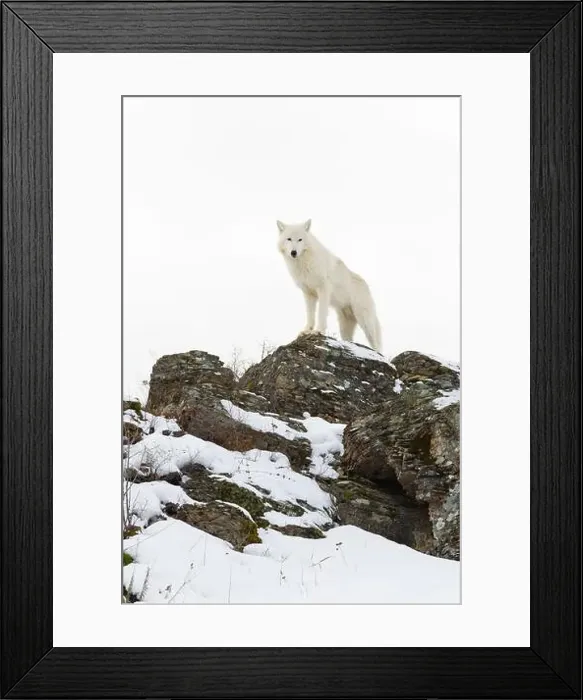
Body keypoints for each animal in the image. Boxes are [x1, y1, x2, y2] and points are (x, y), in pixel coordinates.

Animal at [277, 219, 382, 352]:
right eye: (289, 239)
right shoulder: (308, 293)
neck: (303, 263)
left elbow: (321, 313)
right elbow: (310, 315)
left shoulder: (323, 289)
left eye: (300, 239)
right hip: (344, 328)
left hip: (365, 322)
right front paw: (307, 330)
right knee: (349, 339)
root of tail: (366, 286)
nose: (294, 252)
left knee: (376, 345)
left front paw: (318, 331)